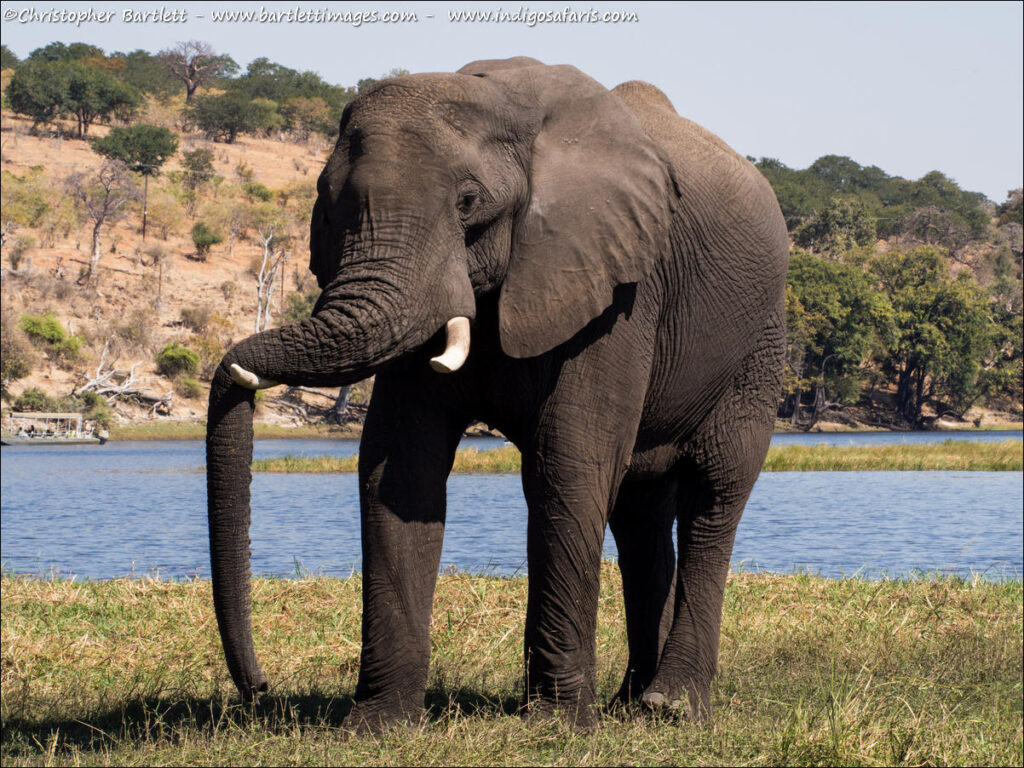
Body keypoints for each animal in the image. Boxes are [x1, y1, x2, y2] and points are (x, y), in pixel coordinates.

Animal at [206, 56, 789, 730]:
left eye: (468, 203)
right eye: (329, 205)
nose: (259, 687)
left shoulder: (616, 292)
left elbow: (569, 464)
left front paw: (557, 727)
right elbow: (398, 469)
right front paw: (377, 726)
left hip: (759, 342)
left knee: (713, 492)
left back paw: (673, 707)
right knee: (639, 509)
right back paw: (630, 706)